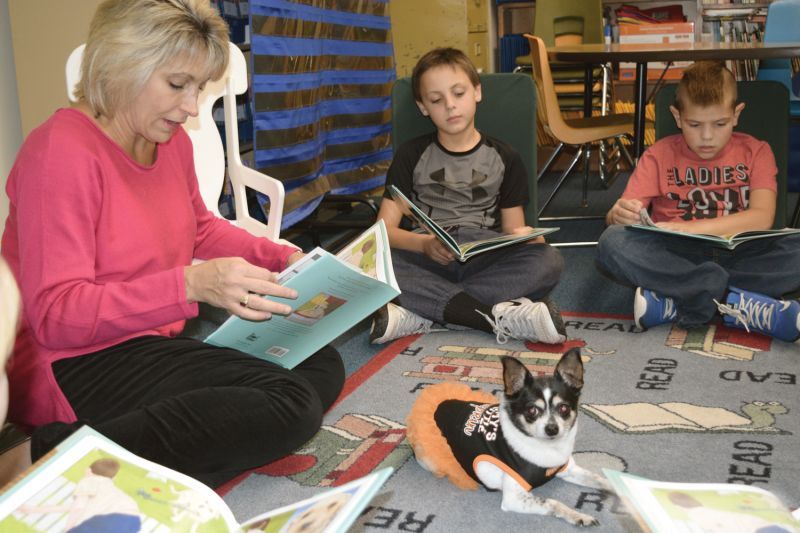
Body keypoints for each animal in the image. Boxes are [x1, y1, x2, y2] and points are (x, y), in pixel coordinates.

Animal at [410, 348, 608, 524]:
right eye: (532, 410)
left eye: (564, 408)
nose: (552, 428)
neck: (548, 448)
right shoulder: (514, 498)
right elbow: (553, 503)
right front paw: (579, 516)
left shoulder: (569, 470)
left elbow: (601, 479)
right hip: (429, 459)